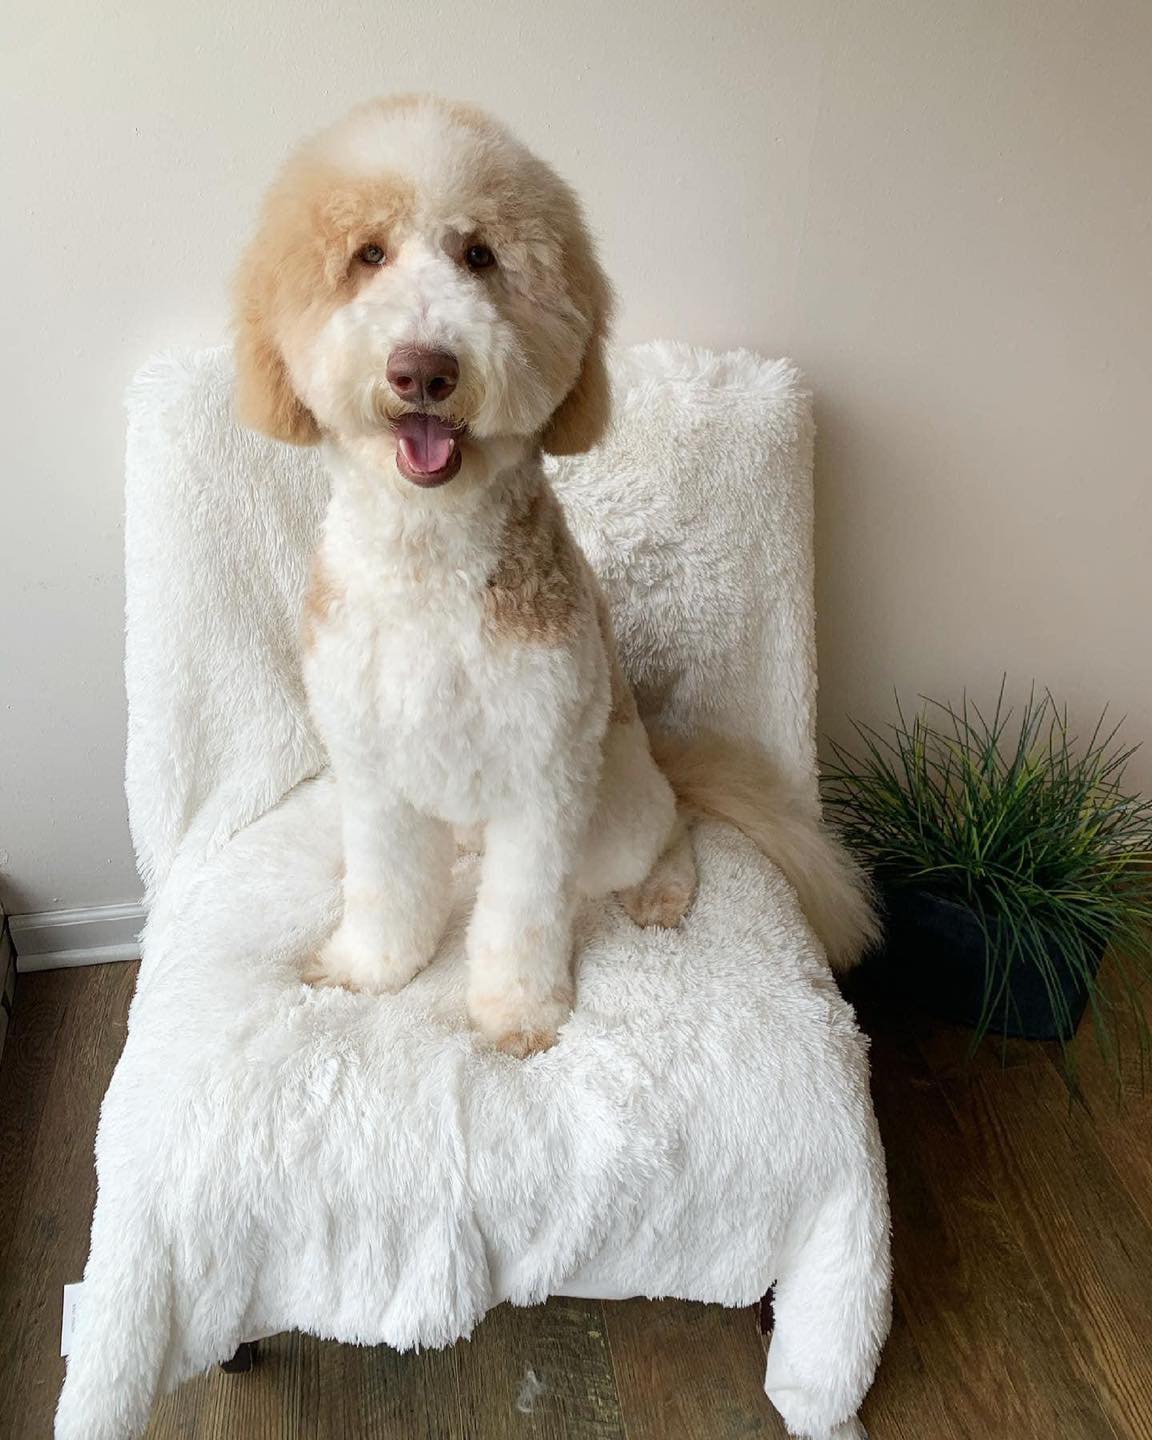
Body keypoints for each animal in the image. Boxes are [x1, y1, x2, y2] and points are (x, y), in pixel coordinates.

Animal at [233, 95, 877, 1056]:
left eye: (479, 256)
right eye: (368, 255)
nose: (424, 368)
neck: (430, 563)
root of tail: (657, 761)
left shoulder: (542, 775)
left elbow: (521, 915)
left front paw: (516, 1015)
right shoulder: (374, 768)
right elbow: (384, 887)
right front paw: (369, 968)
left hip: (615, 804)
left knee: (671, 830)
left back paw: (662, 888)